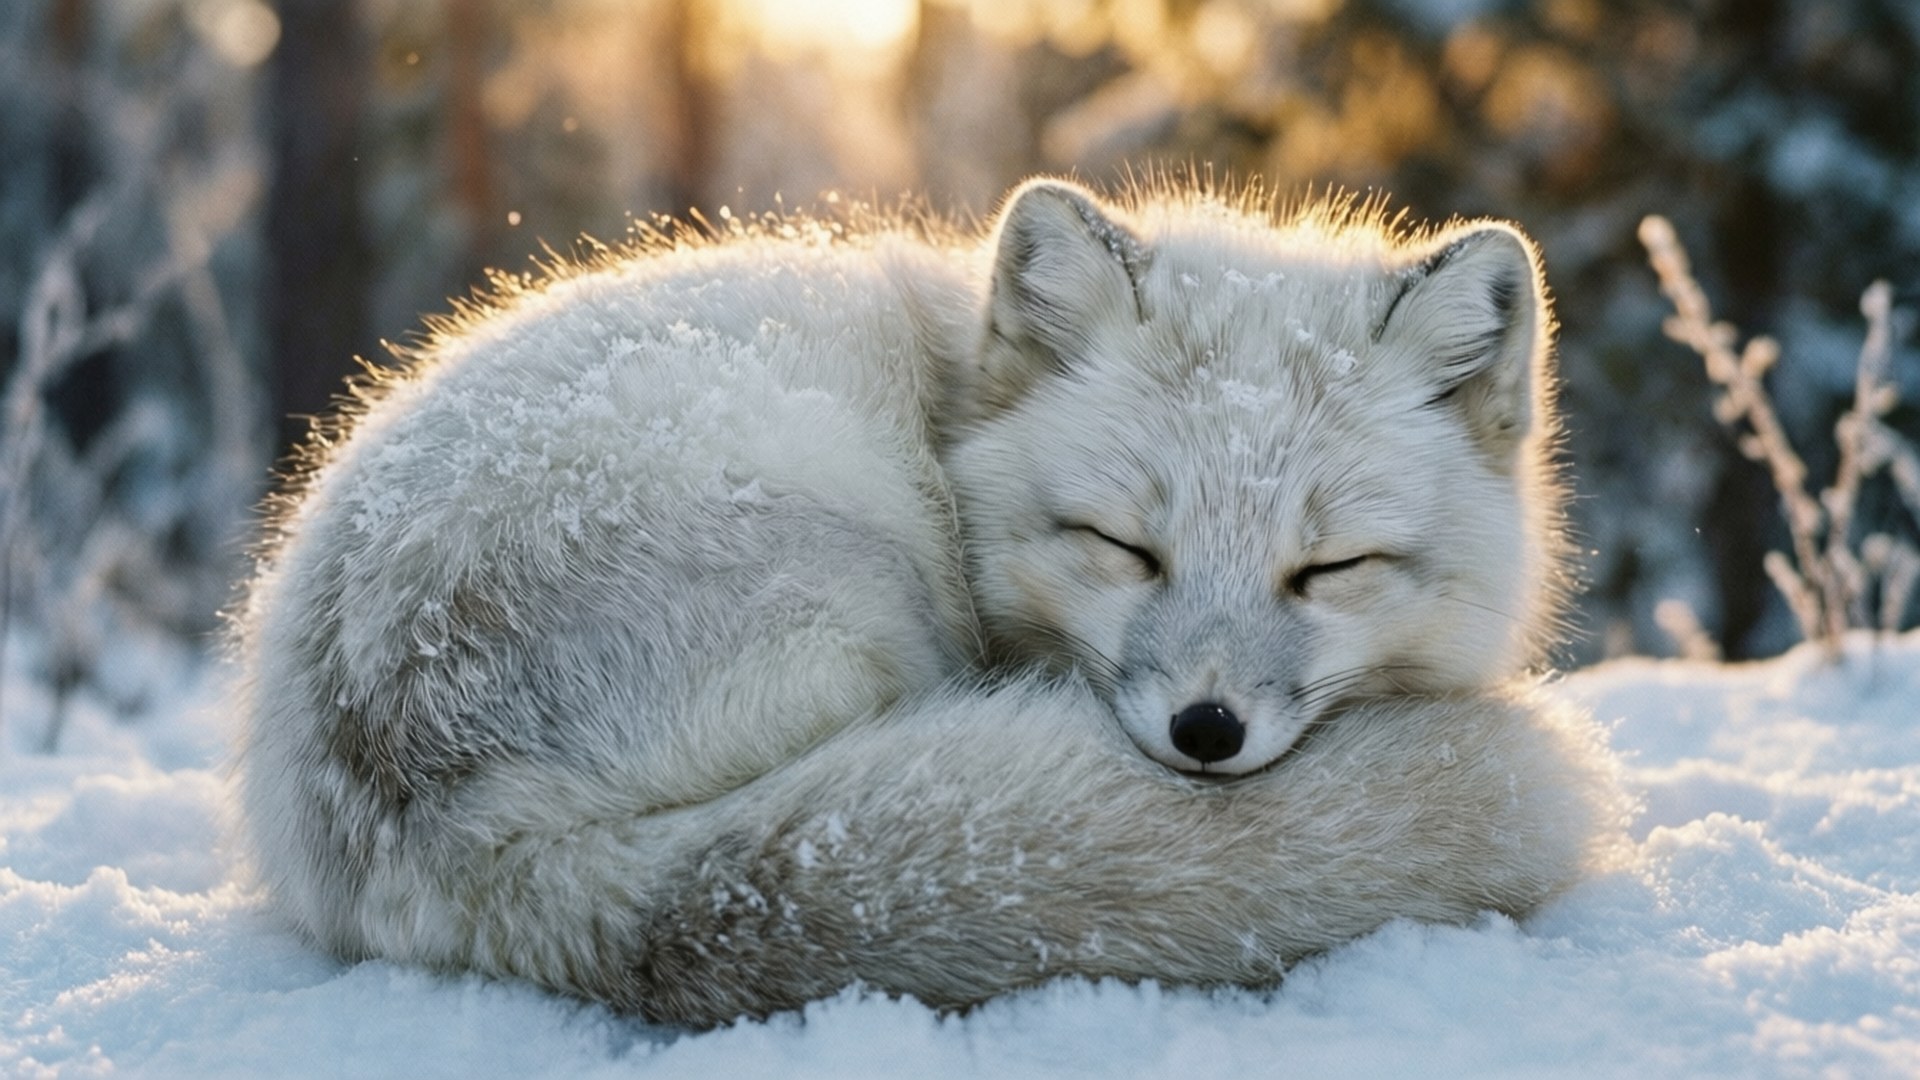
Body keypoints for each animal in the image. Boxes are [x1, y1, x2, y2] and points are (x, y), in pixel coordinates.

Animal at [231, 178, 1613, 1027]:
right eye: (1125, 548)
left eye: (1328, 570)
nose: (1206, 733)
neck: (950, 415)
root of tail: (431, 825)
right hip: (870, 584)